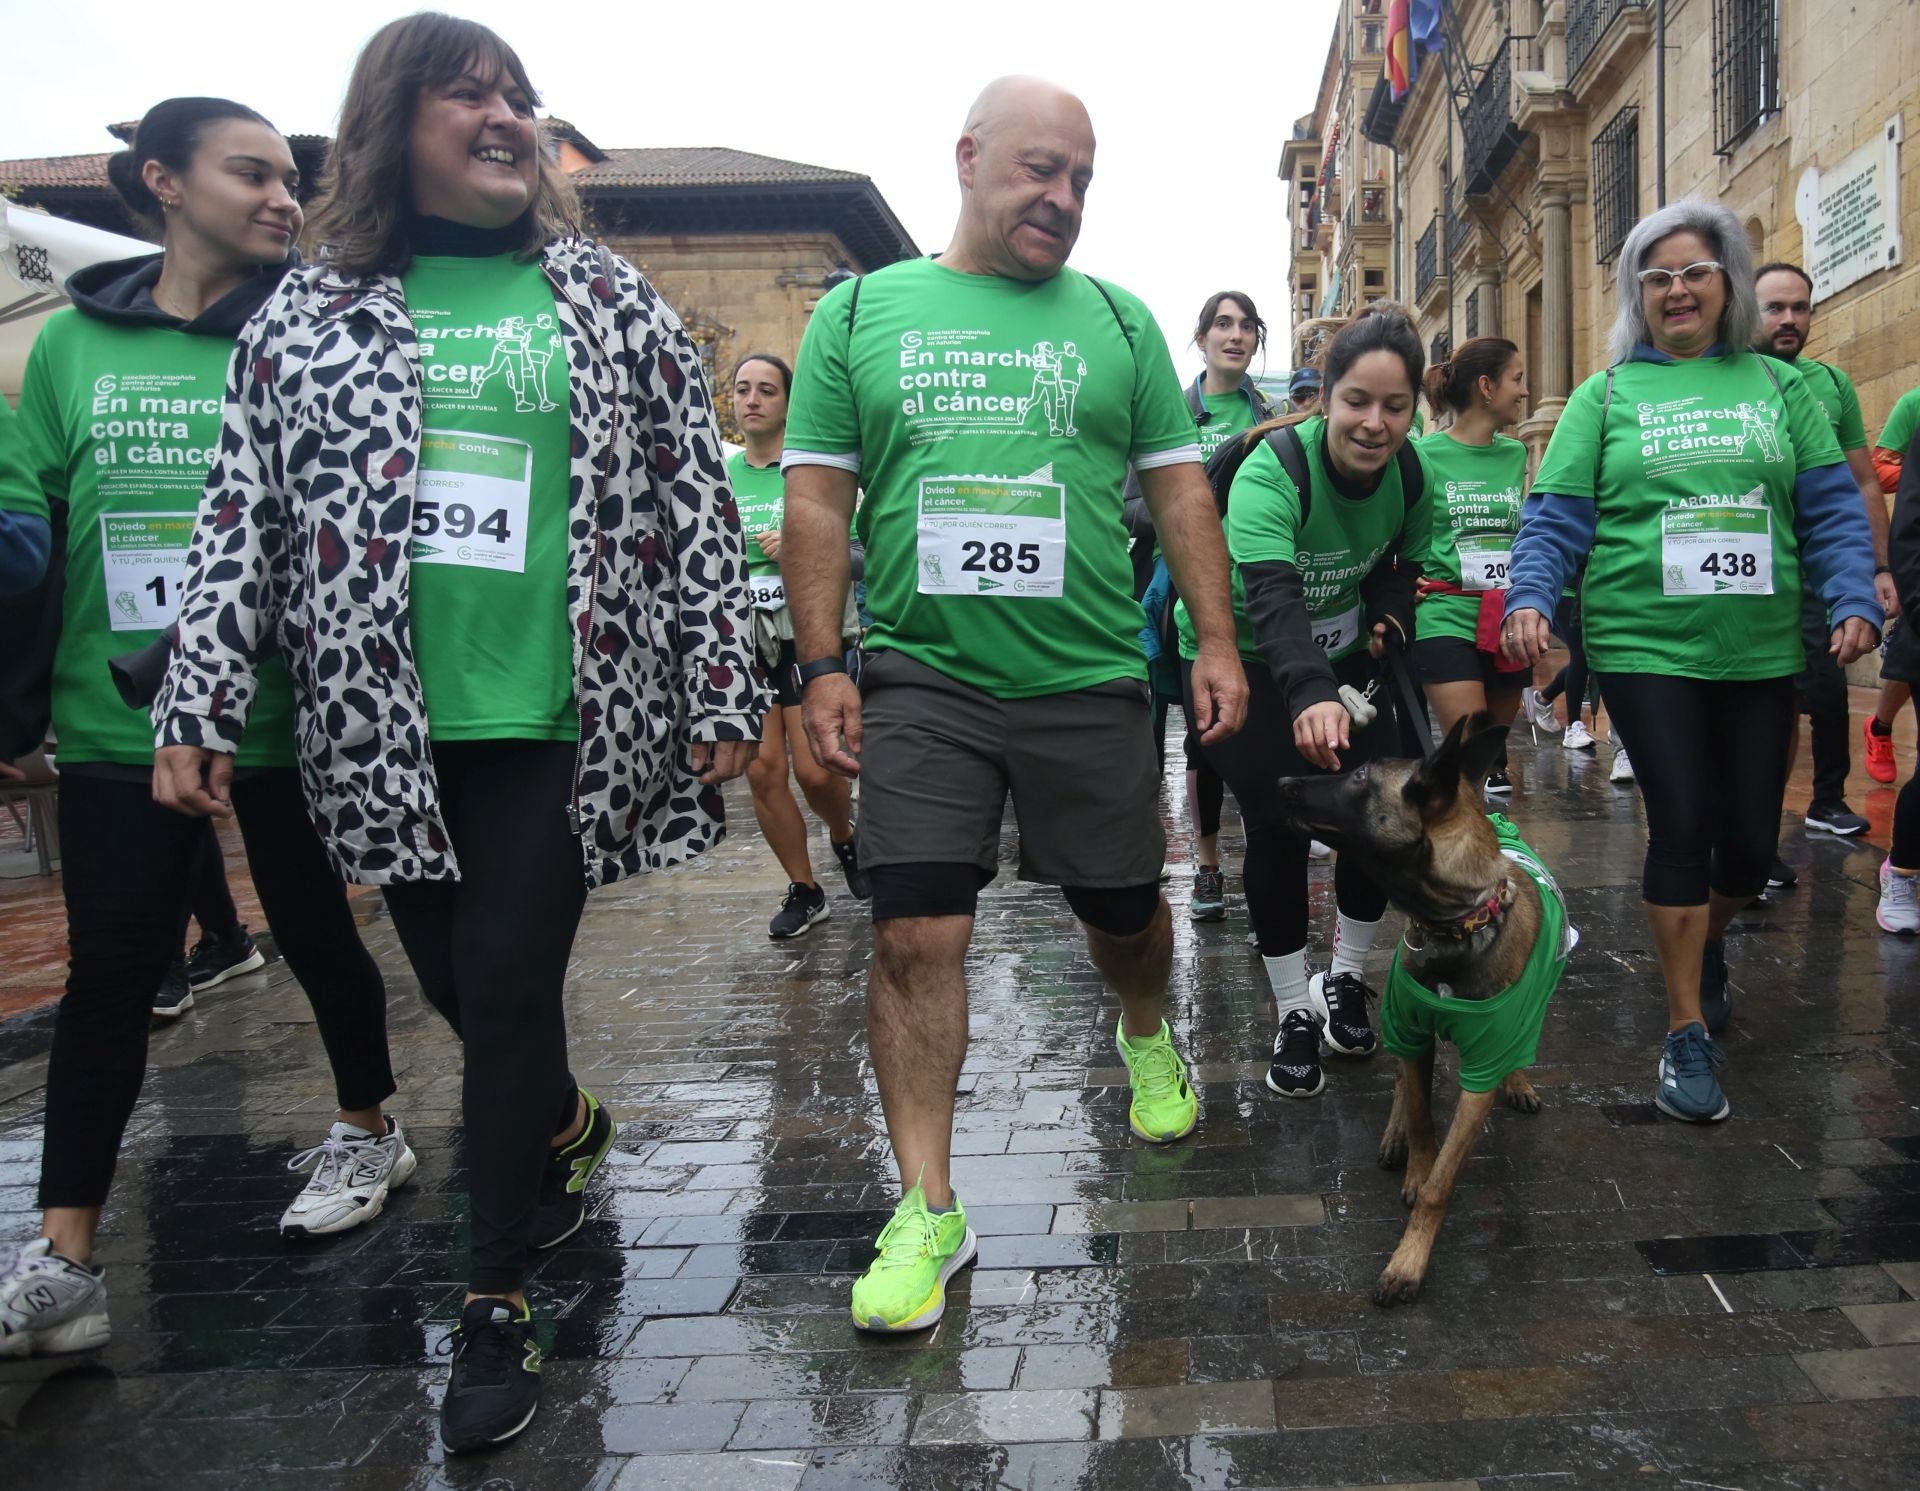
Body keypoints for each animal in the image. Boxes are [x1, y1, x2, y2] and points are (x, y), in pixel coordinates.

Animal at [1274, 713, 1574, 1312]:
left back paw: (1519, 1082)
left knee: (1520, 1047)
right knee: (1401, 1082)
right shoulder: (1411, 1029)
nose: (1282, 781)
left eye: (1359, 775)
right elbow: (1417, 1113)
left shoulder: (1482, 1070)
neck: (1455, 925)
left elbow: (1442, 1181)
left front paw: (1408, 1261)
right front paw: (1413, 1158)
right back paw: (1395, 1136)